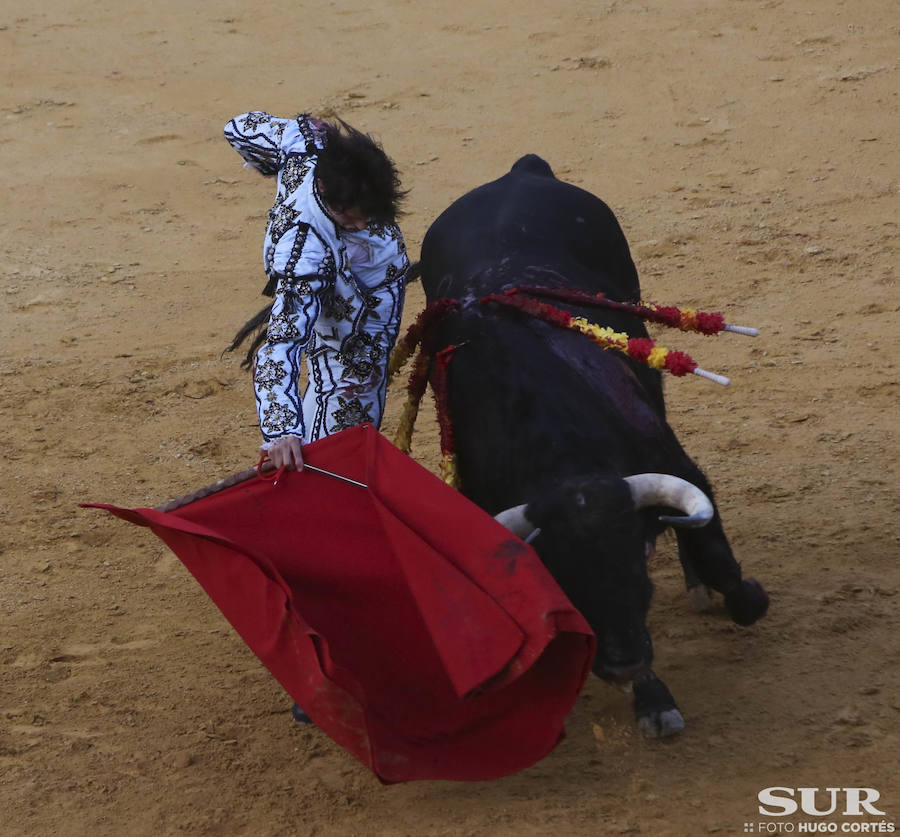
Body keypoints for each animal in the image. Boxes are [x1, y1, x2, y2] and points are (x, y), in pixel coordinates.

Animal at [416, 153, 768, 736]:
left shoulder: (674, 463)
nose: (623, 662)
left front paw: (746, 601)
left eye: (633, 567)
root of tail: (521, 171)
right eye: (566, 582)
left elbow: (716, 551)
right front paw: (651, 699)